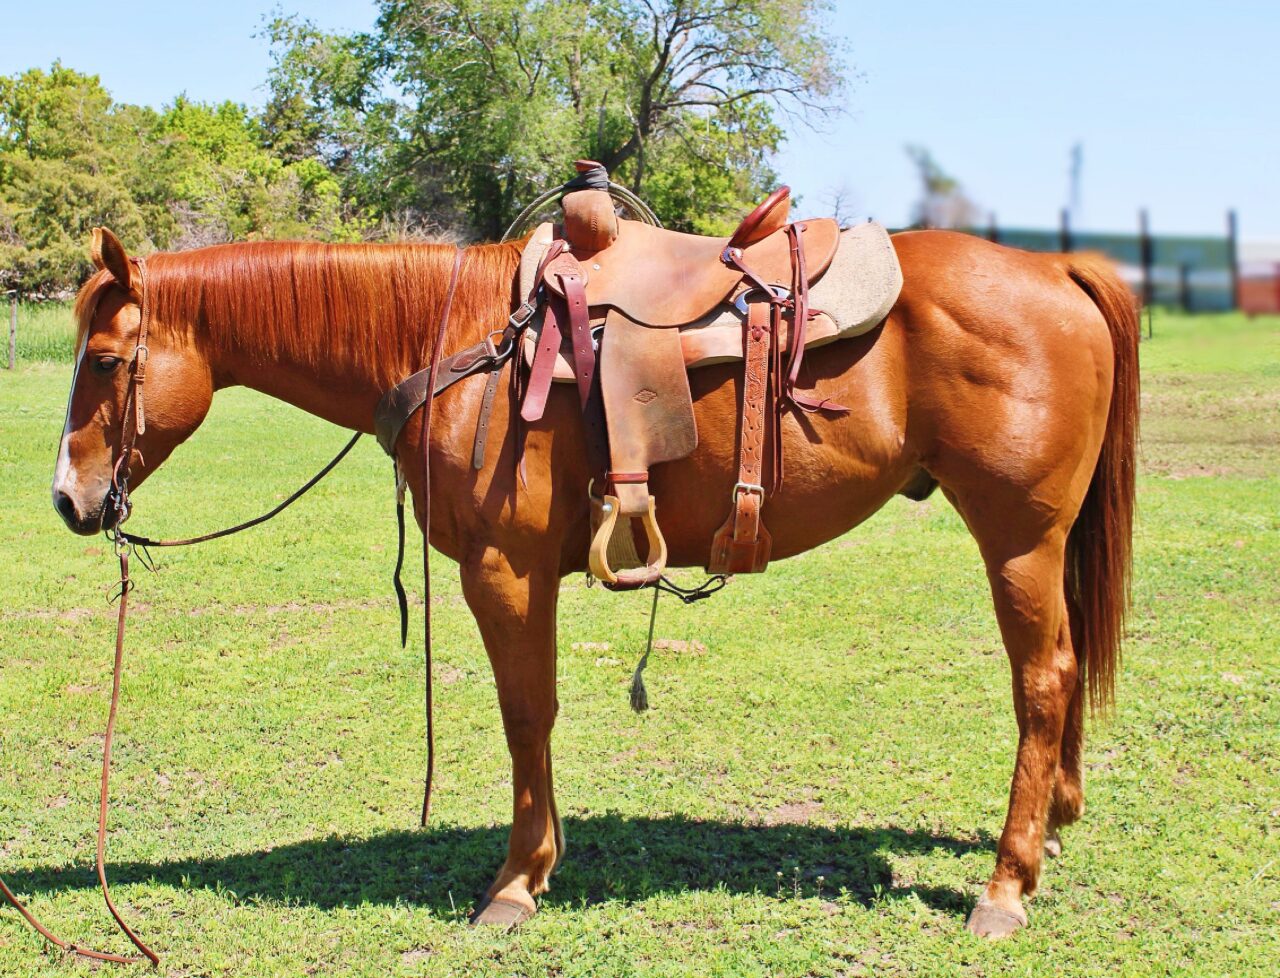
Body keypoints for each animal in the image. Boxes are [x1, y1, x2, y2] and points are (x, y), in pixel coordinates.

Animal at [52, 224, 1138, 938]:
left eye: (104, 360)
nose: (68, 498)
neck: (460, 343)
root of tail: (1054, 266)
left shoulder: (505, 570)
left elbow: (525, 713)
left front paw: (516, 881)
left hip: (1018, 539)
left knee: (1042, 683)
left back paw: (1002, 889)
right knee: (1064, 669)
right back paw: (1051, 829)